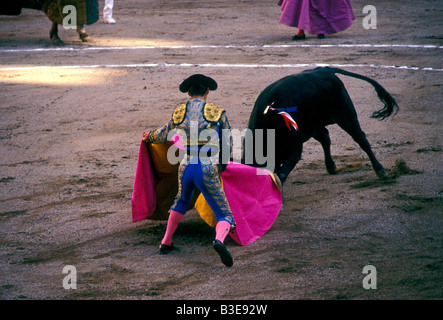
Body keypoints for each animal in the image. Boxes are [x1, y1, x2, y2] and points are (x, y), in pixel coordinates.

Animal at [245, 67, 400, 185]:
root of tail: (324, 69)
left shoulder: (296, 148)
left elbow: (281, 174)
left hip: (346, 115)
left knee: (361, 139)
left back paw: (380, 170)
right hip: (314, 125)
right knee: (325, 138)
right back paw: (331, 167)